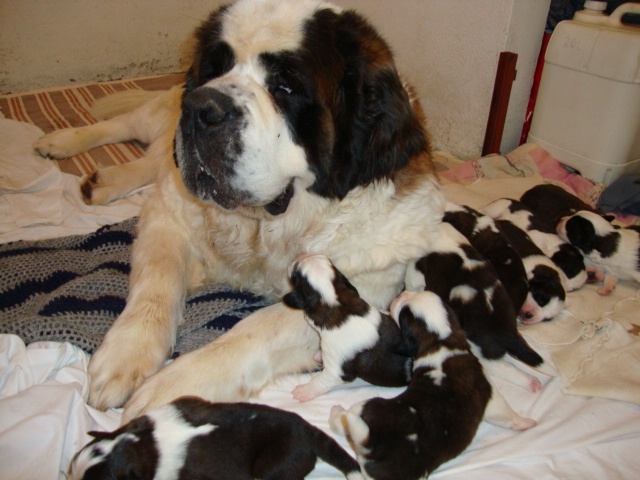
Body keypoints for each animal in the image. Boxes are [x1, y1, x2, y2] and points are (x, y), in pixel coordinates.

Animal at [282, 255, 412, 402]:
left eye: (296, 273)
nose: (300, 255)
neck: (337, 302)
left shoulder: (335, 371)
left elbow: (318, 381)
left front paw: (303, 391)